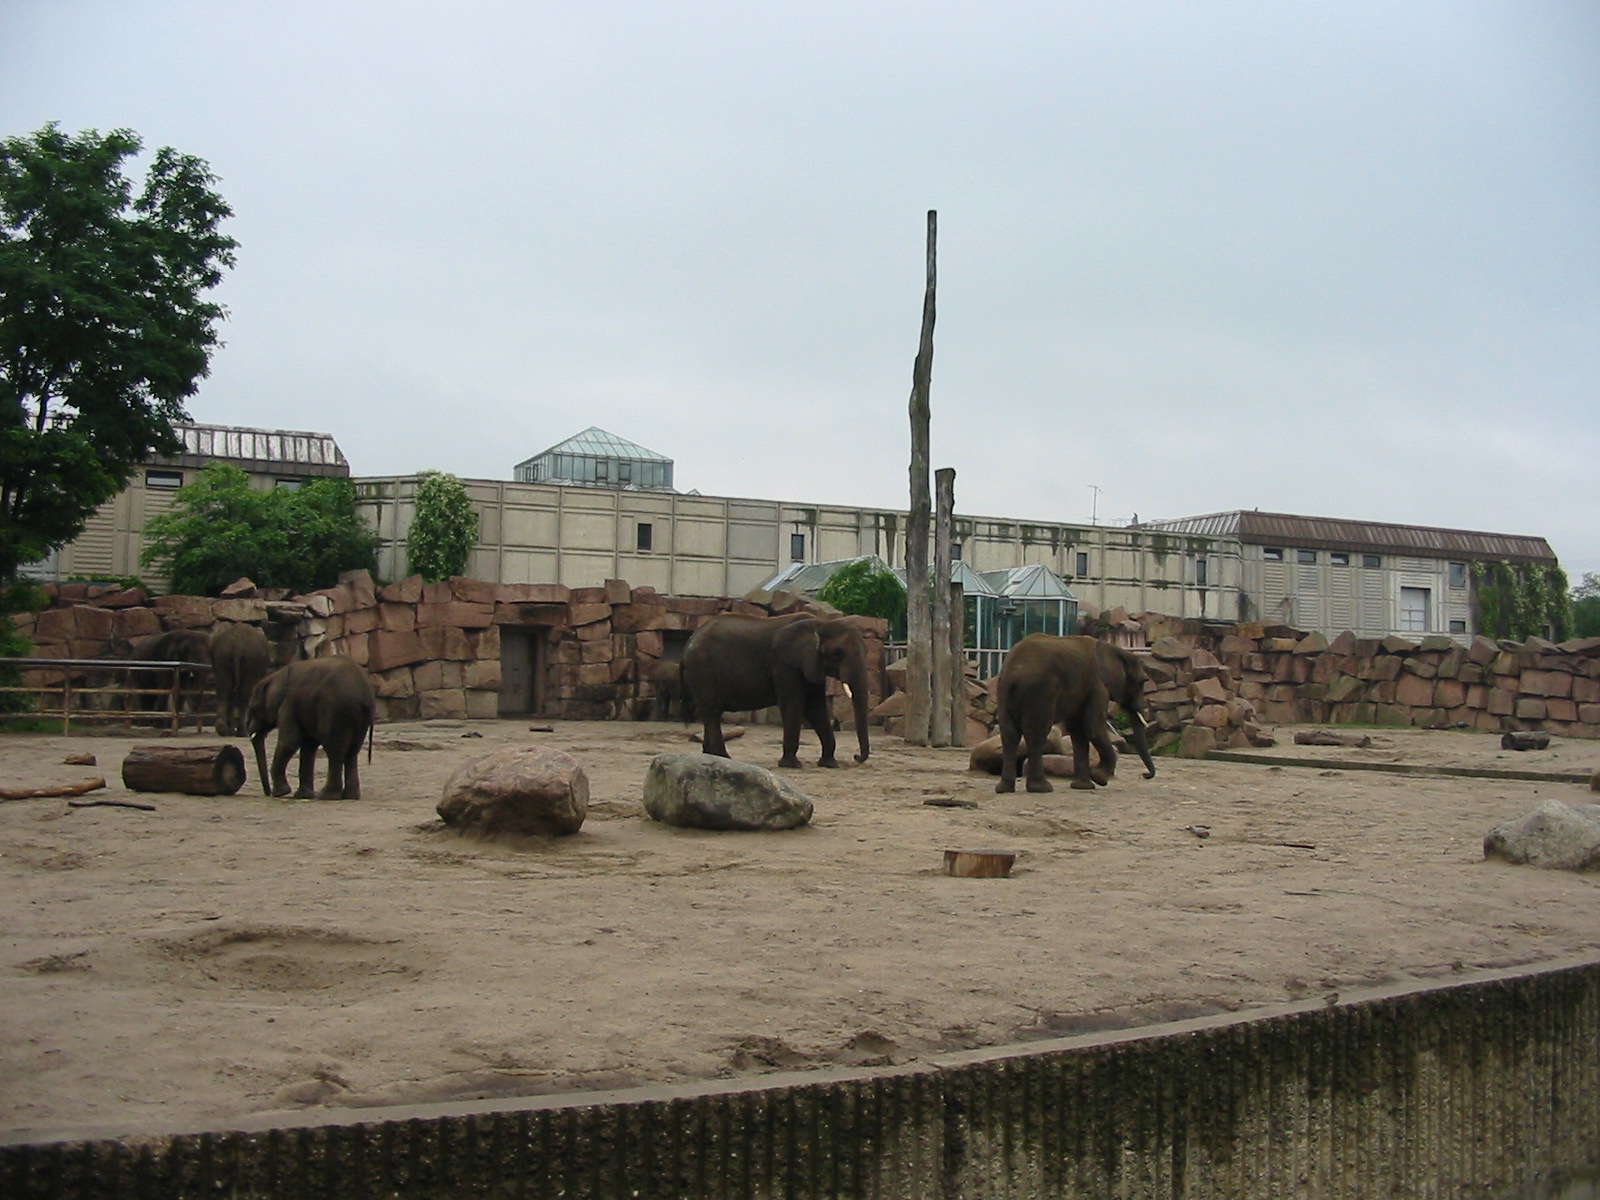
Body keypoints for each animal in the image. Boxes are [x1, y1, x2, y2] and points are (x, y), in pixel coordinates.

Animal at [247, 656, 376, 800]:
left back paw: (326, 796)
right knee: (352, 752)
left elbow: (290, 742)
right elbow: (308, 746)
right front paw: (303, 796)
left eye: (253, 708)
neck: (275, 676)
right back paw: (350, 796)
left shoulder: (288, 705)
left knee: (335, 751)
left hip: (336, 712)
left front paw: (281, 793)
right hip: (360, 717)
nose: (268, 793)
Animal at [682, 613, 871, 768]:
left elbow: (816, 709)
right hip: (703, 669)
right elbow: (794, 704)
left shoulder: (811, 665)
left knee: (709, 712)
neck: (821, 624)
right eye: (837, 653)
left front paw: (829, 764)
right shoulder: (785, 665)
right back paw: (723, 757)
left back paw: (710, 756)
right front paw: (791, 765)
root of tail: (691, 639)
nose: (856, 756)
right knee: (713, 710)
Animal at [994, 633, 1118, 793]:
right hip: (1039, 691)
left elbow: (1078, 729)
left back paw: (1005, 789)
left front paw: (1084, 786)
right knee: (1036, 733)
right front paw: (1098, 778)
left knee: (1009, 734)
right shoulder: (1098, 685)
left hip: (1003, 691)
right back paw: (1042, 788)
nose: (1102, 780)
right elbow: (1092, 727)